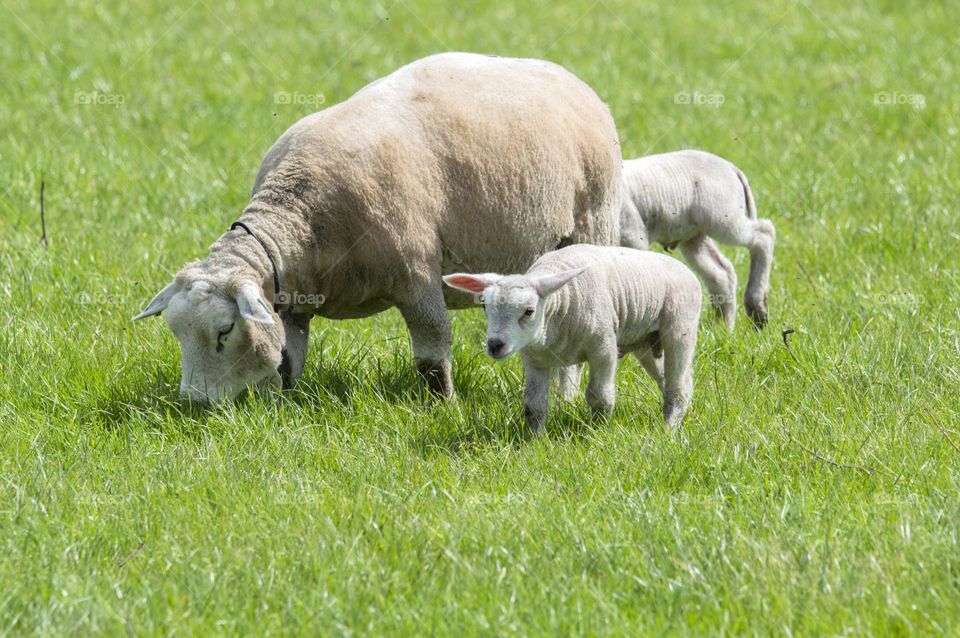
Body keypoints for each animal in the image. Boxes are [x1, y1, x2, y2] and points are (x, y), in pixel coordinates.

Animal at [133, 52, 622, 402]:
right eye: (176, 333)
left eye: (224, 331)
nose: (195, 404)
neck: (301, 214)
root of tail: (566, 76)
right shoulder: (293, 299)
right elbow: (289, 358)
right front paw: (285, 404)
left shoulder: (417, 277)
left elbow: (432, 356)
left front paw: (443, 407)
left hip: (593, 224)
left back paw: (566, 395)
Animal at [443, 244, 701, 432]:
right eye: (485, 306)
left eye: (529, 311)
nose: (495, 345)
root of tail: (686, 270)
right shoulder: (535, 361)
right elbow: (534, 404)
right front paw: (534, 439)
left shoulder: (603, 349)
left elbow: (599, 396)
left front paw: (598, 431)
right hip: (647, 343)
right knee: (674, 382)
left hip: (679, 328)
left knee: (678, 387)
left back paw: (668, 430)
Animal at [619, 149, 776, 329]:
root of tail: (732, 168)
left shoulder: (632, 234)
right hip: (694, 235)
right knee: (721, 272)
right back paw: (723, 326)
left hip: (723, 217)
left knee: (764, 234)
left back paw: (757, 309)